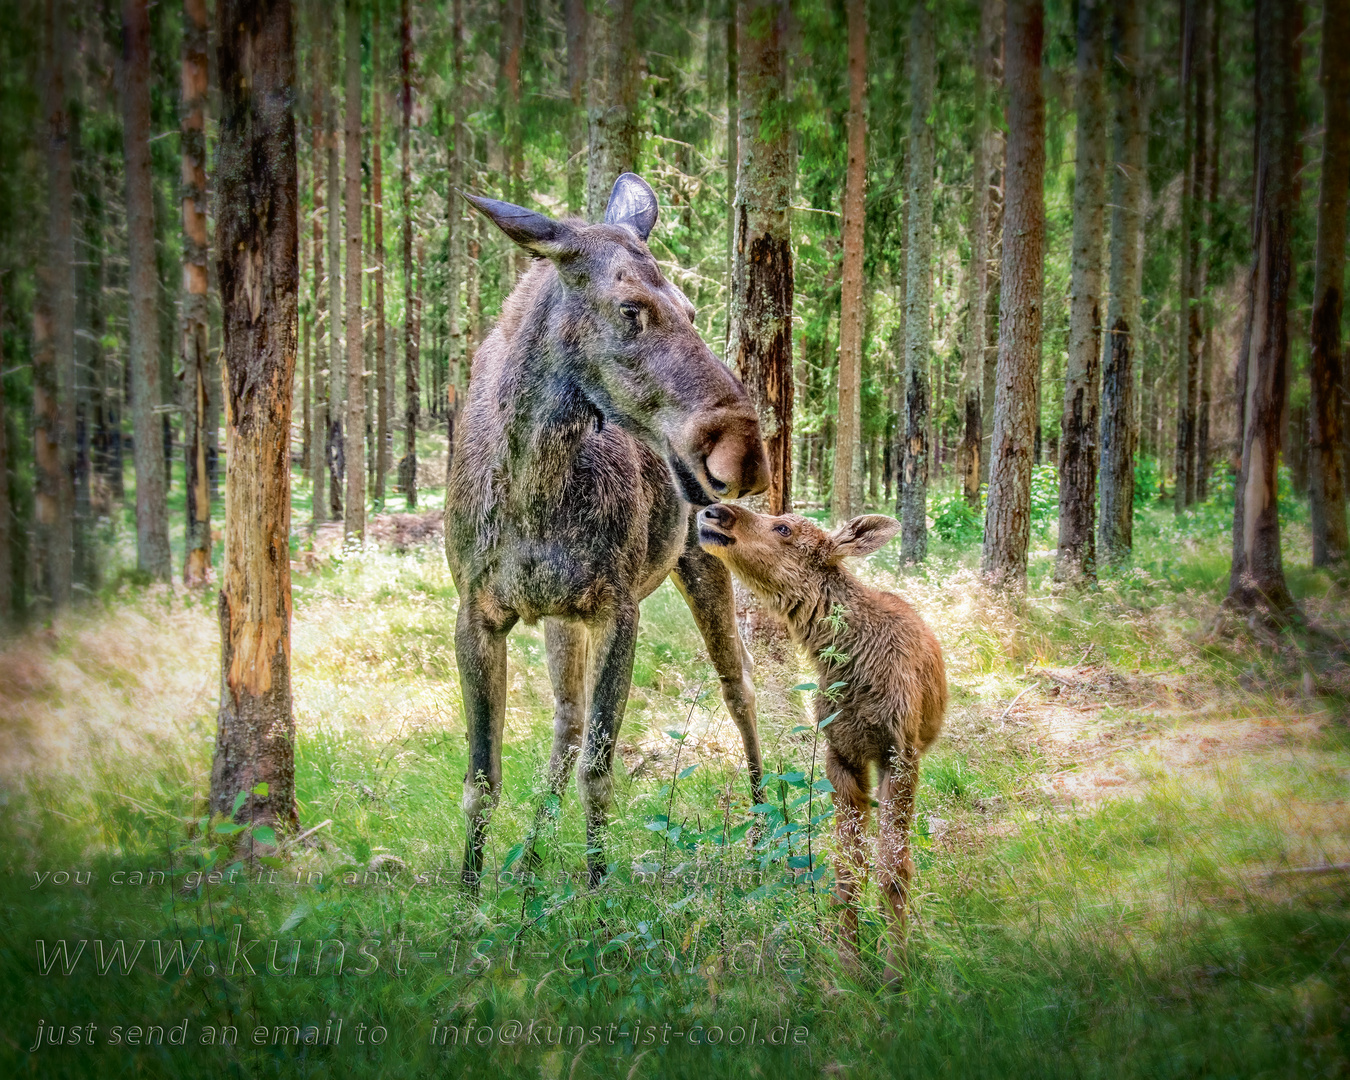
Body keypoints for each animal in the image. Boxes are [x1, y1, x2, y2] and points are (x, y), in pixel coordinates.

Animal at [445, 175, 772, 885]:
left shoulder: (617, 607)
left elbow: (600, 770)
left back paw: (770, 833)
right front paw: (470, 894)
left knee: (740, 686)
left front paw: (598, 891)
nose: (746, 455)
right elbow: (482, 781)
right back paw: (529, 858)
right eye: (630, 309)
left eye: (693, 311)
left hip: (699, 566)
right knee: (565, 723)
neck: (533, 492)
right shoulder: (477, 611)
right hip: (560, 616)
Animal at [696, 502, 950, 982]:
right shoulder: (841, 753)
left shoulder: (899, 751)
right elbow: (847, 872)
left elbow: (893, 869)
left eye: (783, 528)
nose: (713, 511)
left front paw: (895, 972)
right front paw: (849, 966)